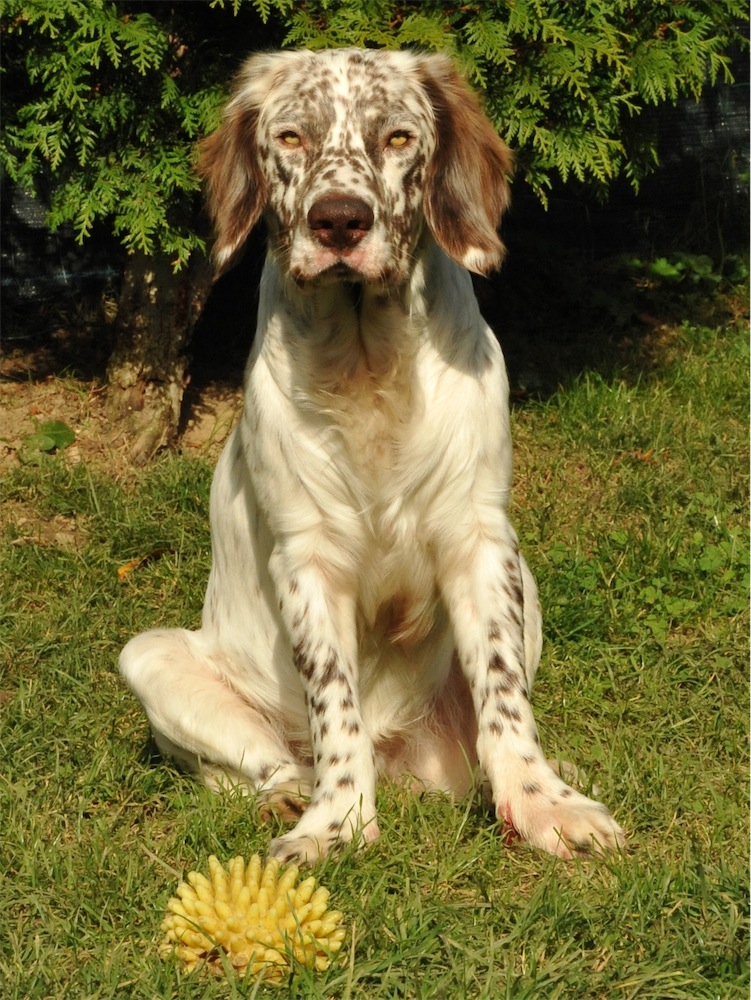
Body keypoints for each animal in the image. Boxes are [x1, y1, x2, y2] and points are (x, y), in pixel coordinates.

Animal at [119, 45, 624, 860]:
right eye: (291, 136)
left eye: (397, 137)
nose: (339, 221)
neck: (368, 365)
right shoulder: (307, 558)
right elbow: (334, 703)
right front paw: (337, 823)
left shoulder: (481, 539)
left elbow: (504, 696)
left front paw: (543, 803)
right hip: (149, 657)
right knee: (263, 764)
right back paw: (288, 796)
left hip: (526, 582)